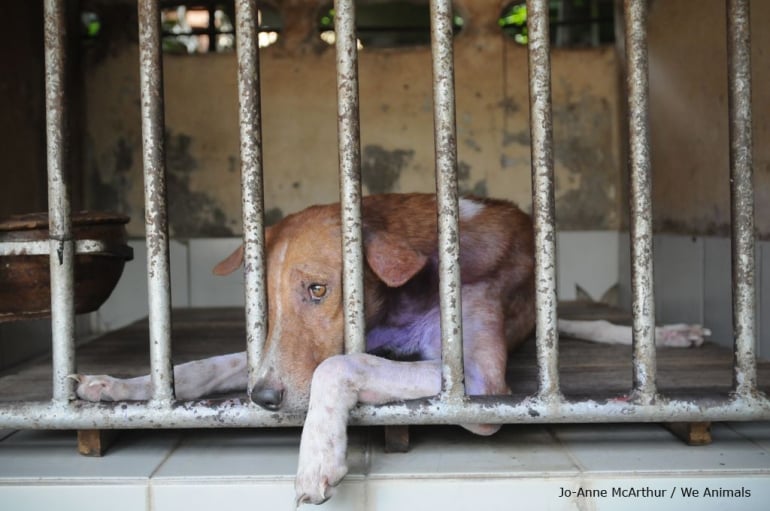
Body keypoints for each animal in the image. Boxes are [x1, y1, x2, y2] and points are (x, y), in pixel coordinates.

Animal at [73, 193, 708, 508]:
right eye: (266, 305)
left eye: (319, 290)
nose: (264, 398)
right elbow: (200, 367)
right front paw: (120, 387)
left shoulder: (478, 384)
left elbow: (336, 363)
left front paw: (317, 456)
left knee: (589, 326)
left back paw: (673, 334)